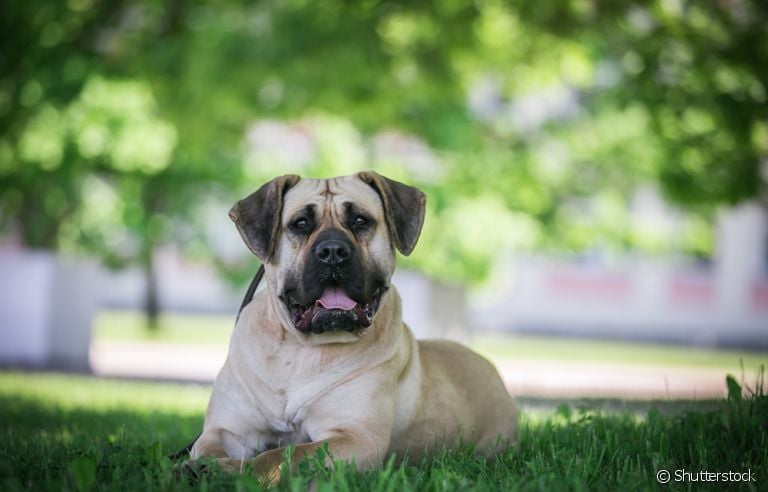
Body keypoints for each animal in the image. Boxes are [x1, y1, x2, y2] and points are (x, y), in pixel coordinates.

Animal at [189, 171, 520, 478]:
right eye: (300, 223)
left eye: (360, 220)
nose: (333, 251)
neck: (301, 350)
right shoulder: (226, 431)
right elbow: (210, 450)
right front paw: (204, 467)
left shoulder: (355, 438)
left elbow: (280, 455)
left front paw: (232, 471)